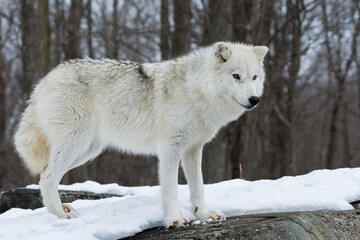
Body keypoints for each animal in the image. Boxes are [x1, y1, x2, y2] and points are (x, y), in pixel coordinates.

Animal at [14, 42, 268, 228]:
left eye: (254, 77)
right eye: (236, 76)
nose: (254, 100)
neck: (197, 90)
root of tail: (44, 80)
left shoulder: (193, 148)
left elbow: (198, 187)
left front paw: (203, 215)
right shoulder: (170, 147)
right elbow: (170, 189)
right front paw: (175, 220)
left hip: (86, 150)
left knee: (46, 175)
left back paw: (61, 210)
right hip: (76, 143)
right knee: (47, 178)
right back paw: (61, 217)